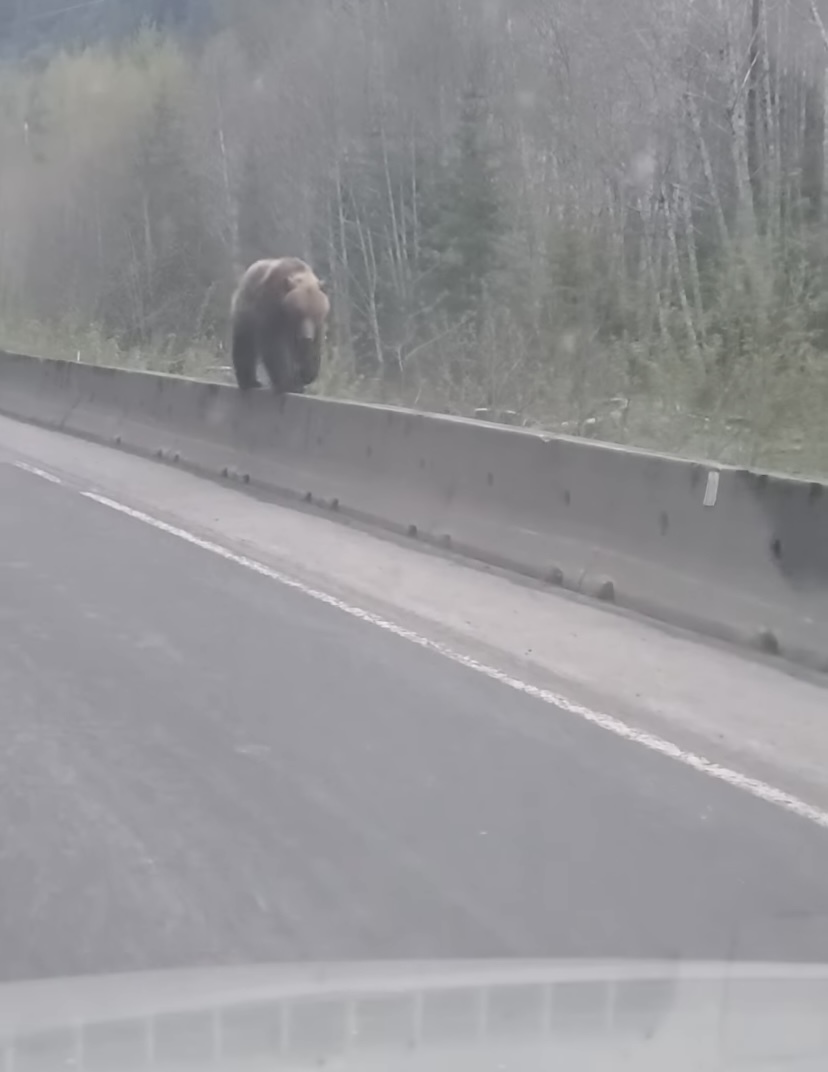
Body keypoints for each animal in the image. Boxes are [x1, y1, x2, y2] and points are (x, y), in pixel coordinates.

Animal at [229, 257, 330, 392]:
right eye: (299, 312)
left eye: (315, 314)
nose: (306, 337)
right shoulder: (272, 308)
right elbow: (276, 347)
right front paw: (291, 384)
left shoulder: (316, 326)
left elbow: (313, 348)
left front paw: (307, 375)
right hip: (246, 312)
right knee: (245, 344)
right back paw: (250, 381)